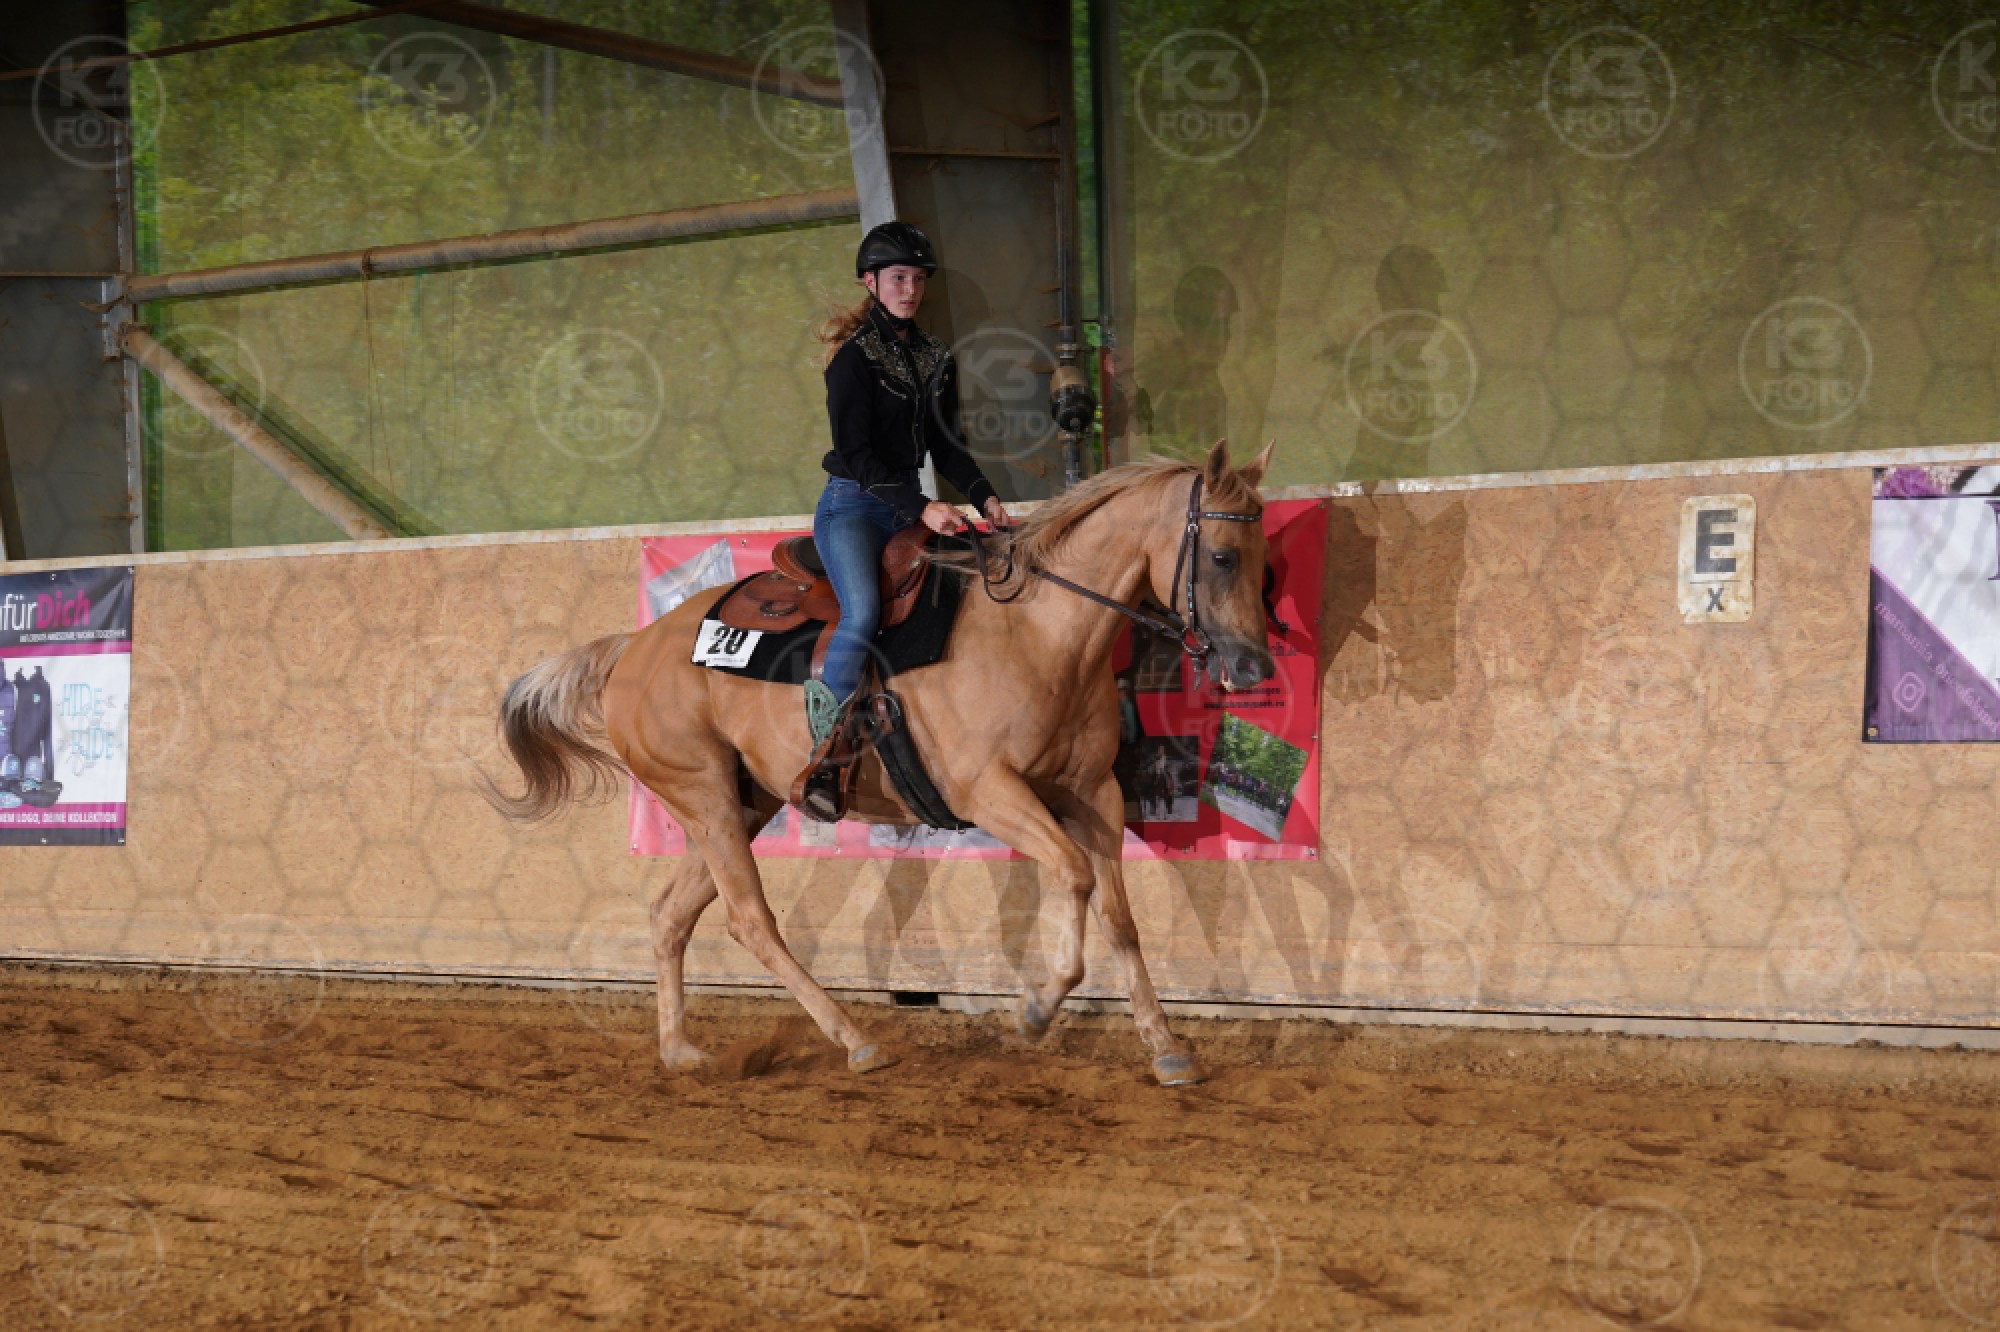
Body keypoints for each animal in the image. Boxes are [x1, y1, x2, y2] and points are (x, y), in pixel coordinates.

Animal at [485, 440, 1276, 1087]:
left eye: (1263, 562)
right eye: (1222, 556)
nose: (1253, 666)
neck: (1036, 633)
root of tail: (633, 647)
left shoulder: (1094, 793)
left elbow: (1118, 914)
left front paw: (1165, 1045)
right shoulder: (990, 793)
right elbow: (1075, 876)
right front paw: (1036, 1008)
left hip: (741, 803)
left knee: (670, 915)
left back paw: (681, 1051)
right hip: (704, 797)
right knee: (750, 920)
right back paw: (856, 1040)